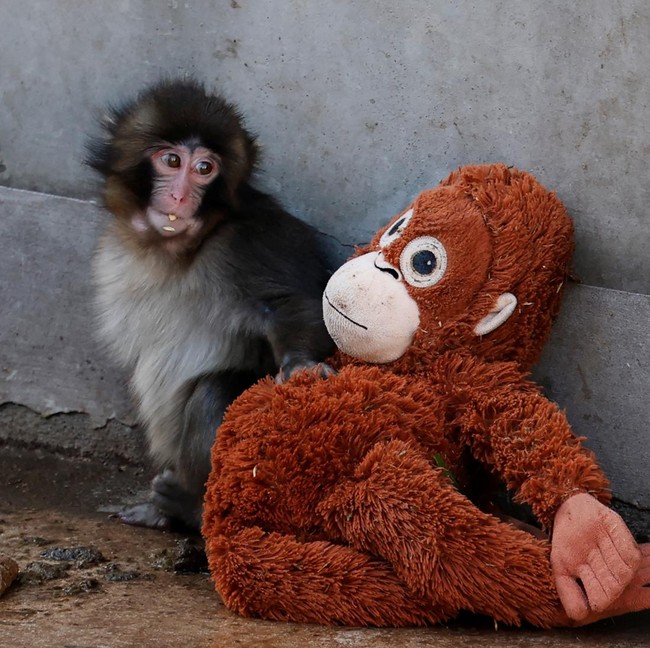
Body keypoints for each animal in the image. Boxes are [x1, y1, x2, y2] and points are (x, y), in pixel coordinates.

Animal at [86, 79, 336, 531]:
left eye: (205, 169)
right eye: (171, 160)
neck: (177, 250)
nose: (180, 195)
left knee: (213, 393)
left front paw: (300, 365)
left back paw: (189, 508)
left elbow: (293, 304)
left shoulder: (249, 241)